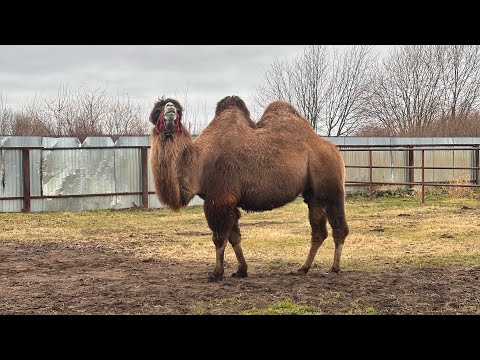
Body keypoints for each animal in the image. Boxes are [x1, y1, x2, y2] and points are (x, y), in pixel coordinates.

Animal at [149, 95, 348, 282]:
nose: (170, 108)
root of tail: (334, 149)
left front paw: (216, 273)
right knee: (318, 231)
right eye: (157, 110)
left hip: (331, 186)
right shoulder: (228, 202)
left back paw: (334, 268)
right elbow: (234, 237)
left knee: (339, 227)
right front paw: (241, 270)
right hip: (313, 195)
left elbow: (219, 238)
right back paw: (302, 268)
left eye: (178, 111)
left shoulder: (220, 198)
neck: (199, 162)